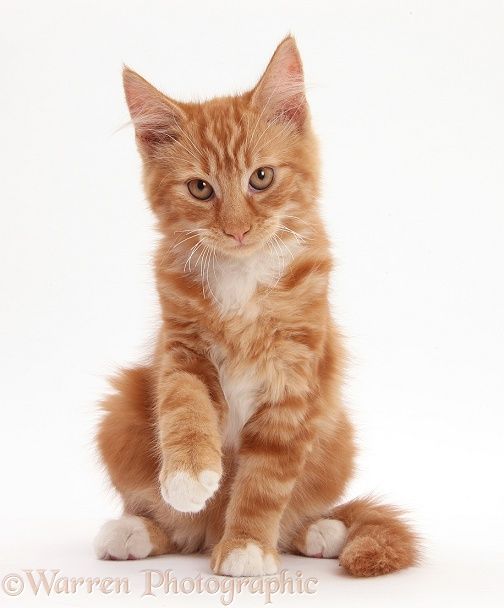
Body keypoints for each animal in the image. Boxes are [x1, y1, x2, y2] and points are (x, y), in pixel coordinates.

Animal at [93, 35, 418, 576]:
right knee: (179, 531)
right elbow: (183, 406)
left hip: (339, 439)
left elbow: (264, 481)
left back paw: (321, 531)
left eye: (261, 177)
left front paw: (246, 546)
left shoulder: (295, 378)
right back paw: (134, 531)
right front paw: (188, 474)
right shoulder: (180, 351)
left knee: (295, 513)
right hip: (120, 412)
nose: (237, 229)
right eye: (200, 188)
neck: (241, 277)